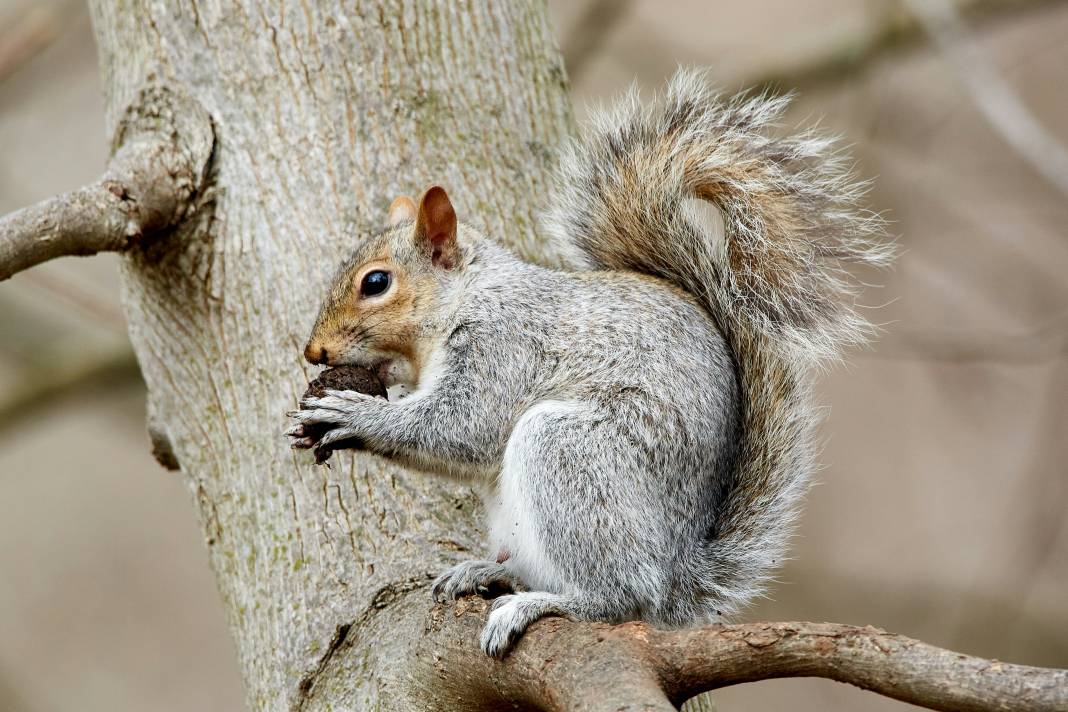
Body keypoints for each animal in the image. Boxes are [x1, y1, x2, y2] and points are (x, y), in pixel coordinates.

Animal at [286, 70, 892, 657]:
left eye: (376, 283)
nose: (314, 352)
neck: (468, 298)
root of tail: (676, 571)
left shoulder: (504, 345)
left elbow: (464, 427)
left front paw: (353, 415)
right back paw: (487, 573)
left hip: (573, 458)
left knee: (617, 598)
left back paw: (545, 604)